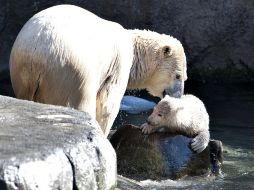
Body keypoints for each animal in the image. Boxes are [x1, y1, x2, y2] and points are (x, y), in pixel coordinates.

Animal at [9, 4, 187, 135]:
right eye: (178, 76)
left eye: (184, 78)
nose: (178, 96)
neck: (134, 49)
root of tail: (37, 53)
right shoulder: (119, 63)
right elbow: (109, 104)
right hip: (72, 72)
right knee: (80, 102)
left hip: (20, 70)